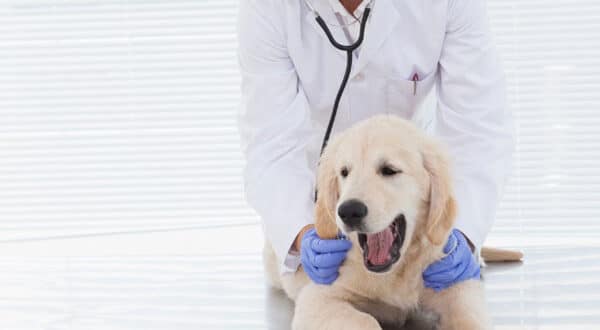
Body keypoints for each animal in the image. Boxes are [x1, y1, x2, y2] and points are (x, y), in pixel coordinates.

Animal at [264, 114, 492, 330]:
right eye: (344, 172)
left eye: (389, 170)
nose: (348, 211)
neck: (396, 273)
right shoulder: (318, 297)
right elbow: (365, 321)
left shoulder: (455, 284)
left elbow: (470, 319)